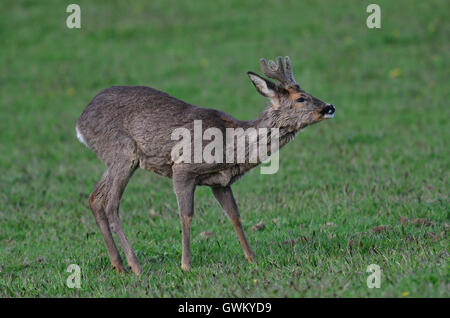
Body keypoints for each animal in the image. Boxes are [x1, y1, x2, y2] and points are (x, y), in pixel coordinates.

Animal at [75, 56, 334, 274]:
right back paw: (135, 266)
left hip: (114, 159)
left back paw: (119, 265)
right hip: (123, 153)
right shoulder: (183, 168)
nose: (330, 107)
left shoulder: (220, 182)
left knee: (95, 198)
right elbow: (186, 215)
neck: (231, 146)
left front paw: (252, 258)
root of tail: (80, 123)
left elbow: (234, 215)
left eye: (307, 92)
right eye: (300, 98)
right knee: (111, 203)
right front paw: (186, 264)